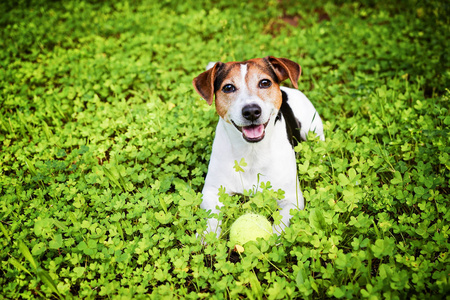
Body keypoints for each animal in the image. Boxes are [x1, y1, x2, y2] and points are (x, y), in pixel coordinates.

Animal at [192, 55, 324, 239]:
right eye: (228, 87)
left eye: (264, 83)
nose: (251, 111)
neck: (252, 152)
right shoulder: (212, 192)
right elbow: (211, 217)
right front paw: (207, 237)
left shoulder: (292, 199)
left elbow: (280, 226)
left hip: (313, 128)